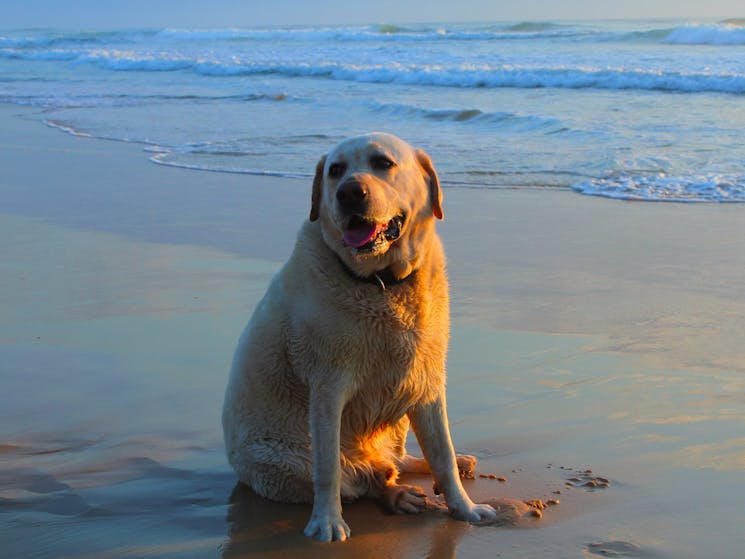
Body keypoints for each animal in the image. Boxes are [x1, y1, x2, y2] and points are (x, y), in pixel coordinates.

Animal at [222, 133, 500, 540]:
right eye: (335, 170)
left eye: (382, 163)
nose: (350, 193)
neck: (381, 283)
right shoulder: (327, 387)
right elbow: (328, 471)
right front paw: (326, 522)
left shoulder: (427, 381)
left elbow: (442, 454)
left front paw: (464, 507)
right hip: (282, 461)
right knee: (358, 480)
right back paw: (395, 495)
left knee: (401, 459)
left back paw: (442, 467)